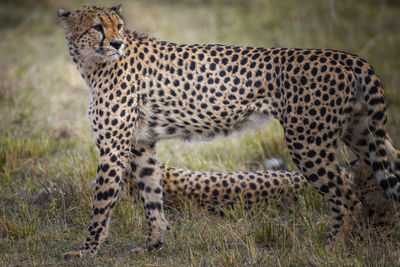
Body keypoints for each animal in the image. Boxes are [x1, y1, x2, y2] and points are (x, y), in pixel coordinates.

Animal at [57, 5, 400, 258]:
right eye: (97, 27)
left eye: (119, 27)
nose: (117, 44)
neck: (93, 63)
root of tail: (347, 56)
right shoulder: (142, 144)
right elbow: (152, 195)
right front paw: (153, 244)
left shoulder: (114, 148)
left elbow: (102, 203)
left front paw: (86, 250)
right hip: (362, 134)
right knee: (388, 172)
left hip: (307, 141)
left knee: (347, 198)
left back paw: (331, 249)